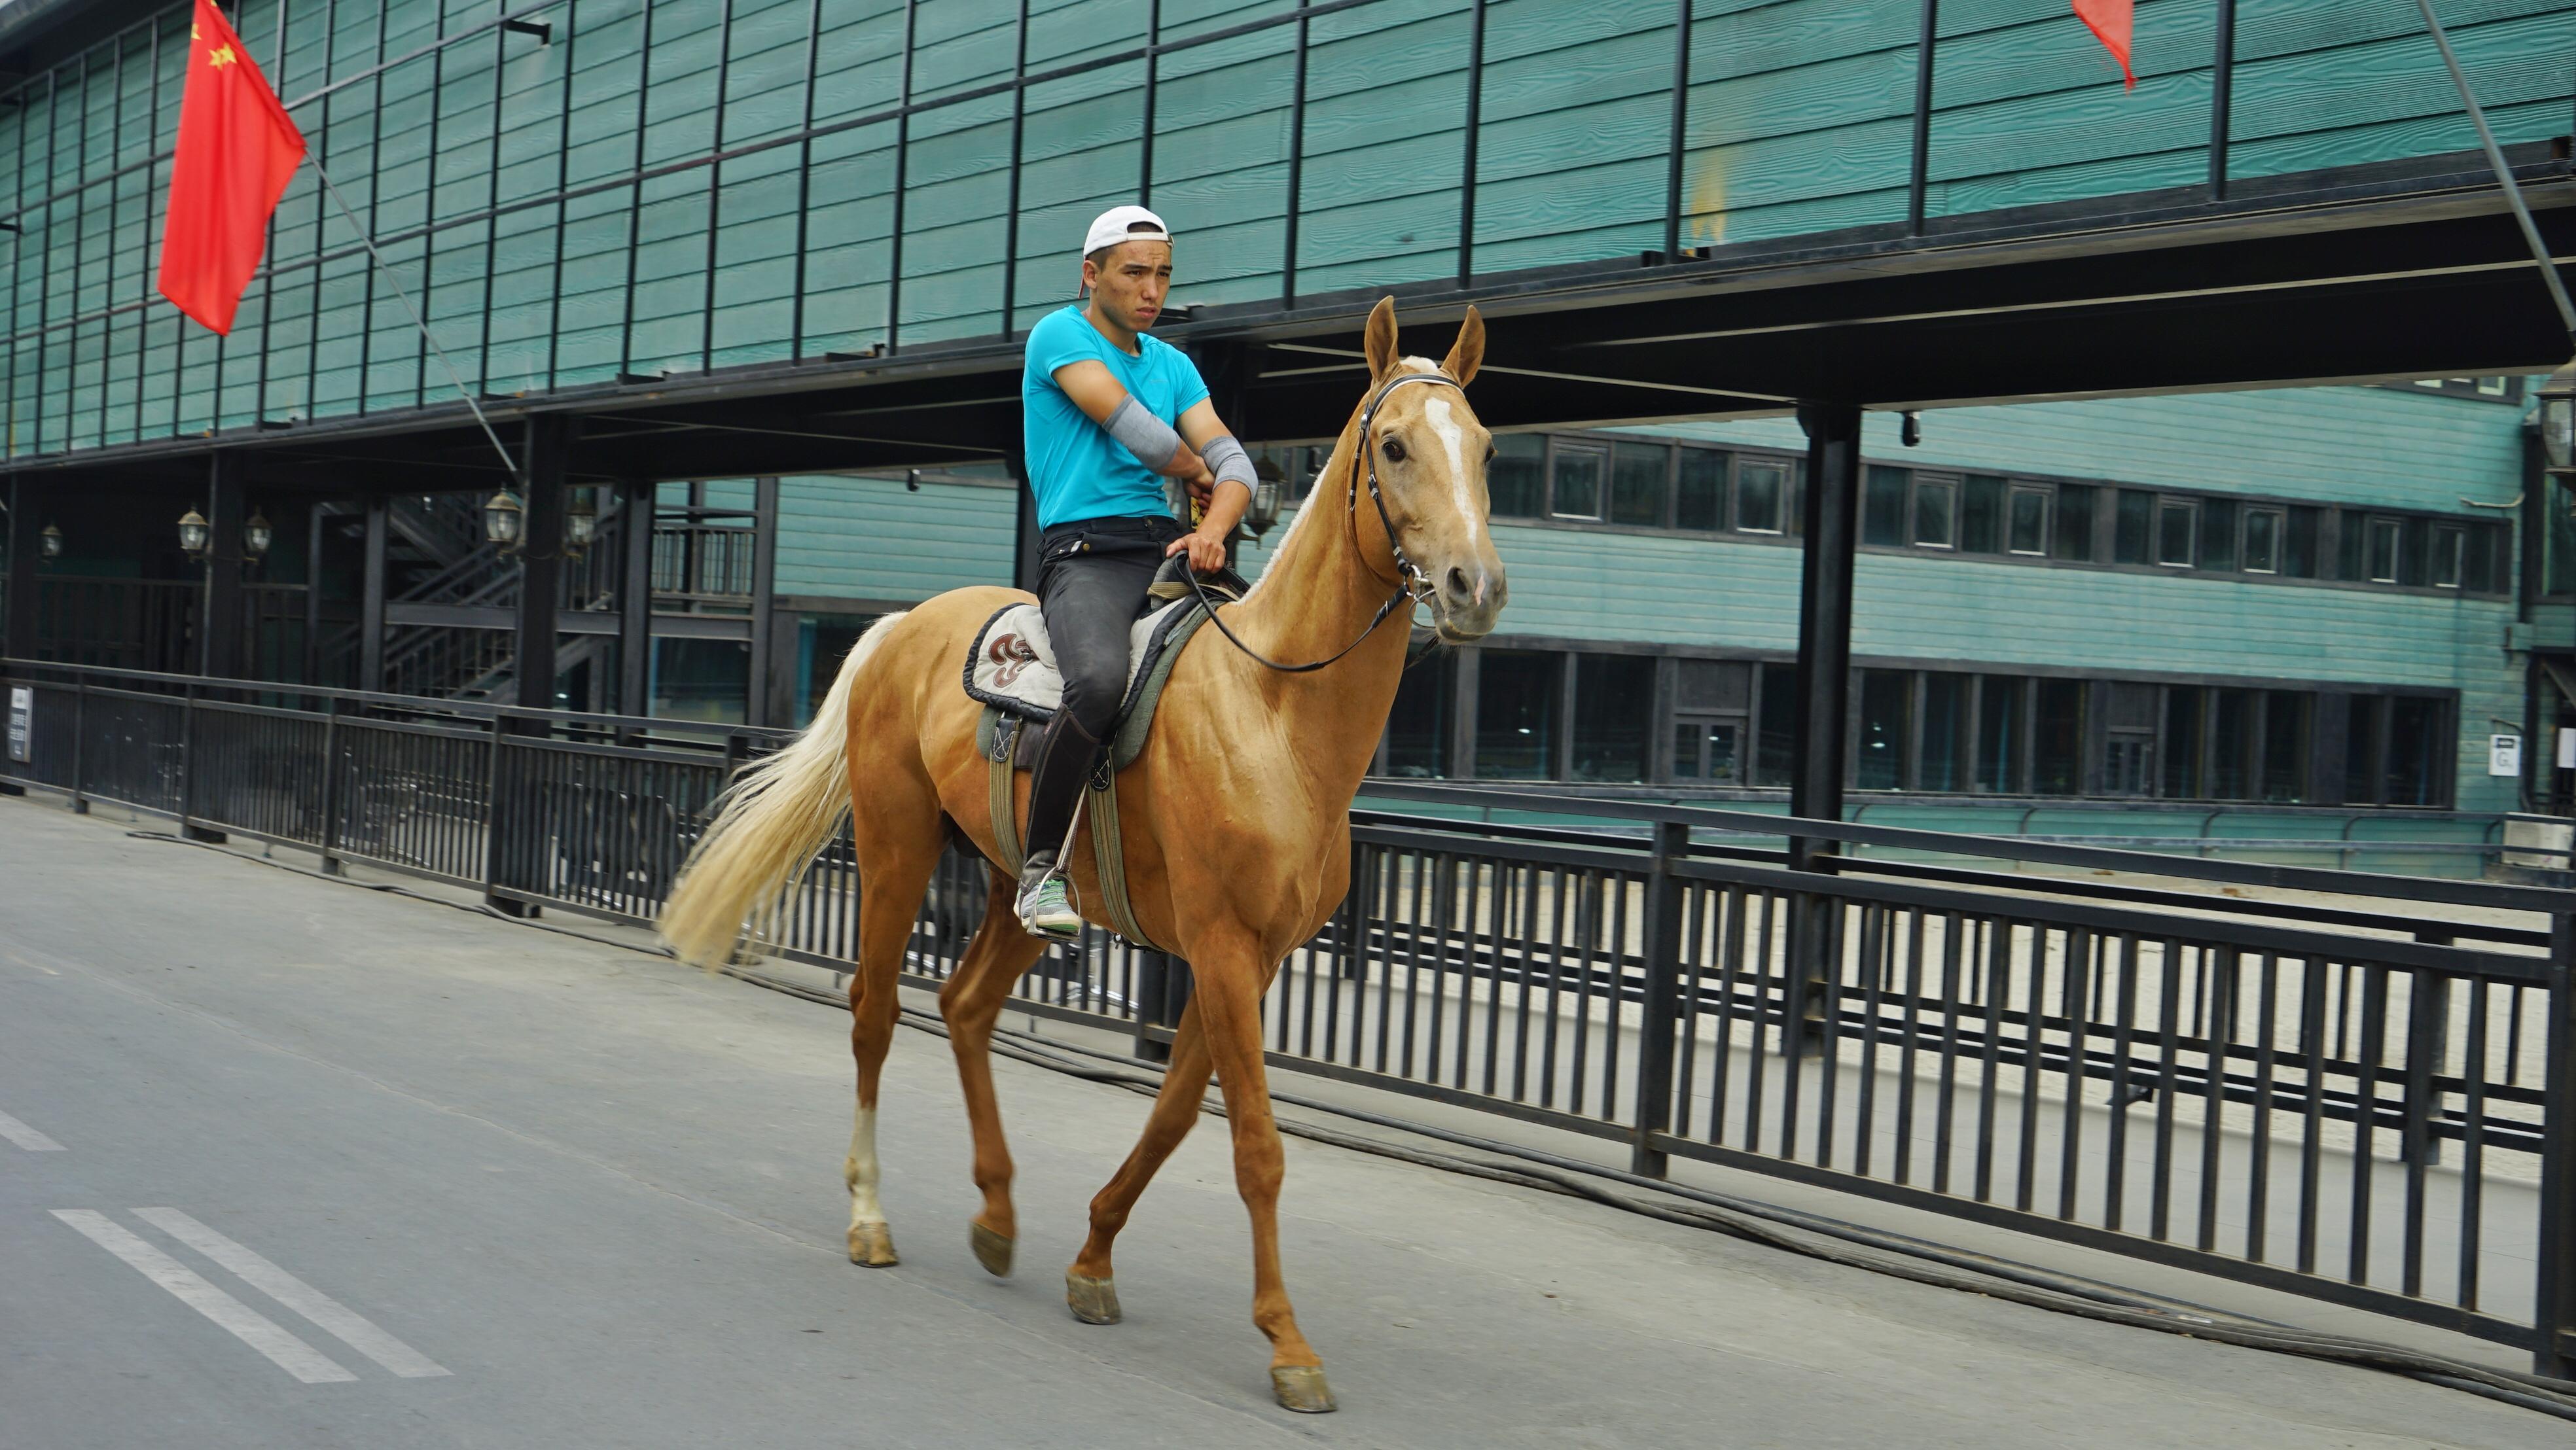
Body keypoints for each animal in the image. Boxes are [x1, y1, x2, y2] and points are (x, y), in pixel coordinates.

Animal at [654, 297, 1504, 1421]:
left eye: (1487, 449)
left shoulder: (1253, 959)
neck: (1274, 710)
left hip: (1017, 886)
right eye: (1397, 445)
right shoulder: (1222, 949)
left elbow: (1180, 1114)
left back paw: (998, 1214)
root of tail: (903, 627)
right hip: (895, 848)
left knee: (966, 1005)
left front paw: (1094, 1257)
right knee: (876, 1013)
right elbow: (1257, 1145)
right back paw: (870, 1216)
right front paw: (1288, 1343)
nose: (1474, 586)